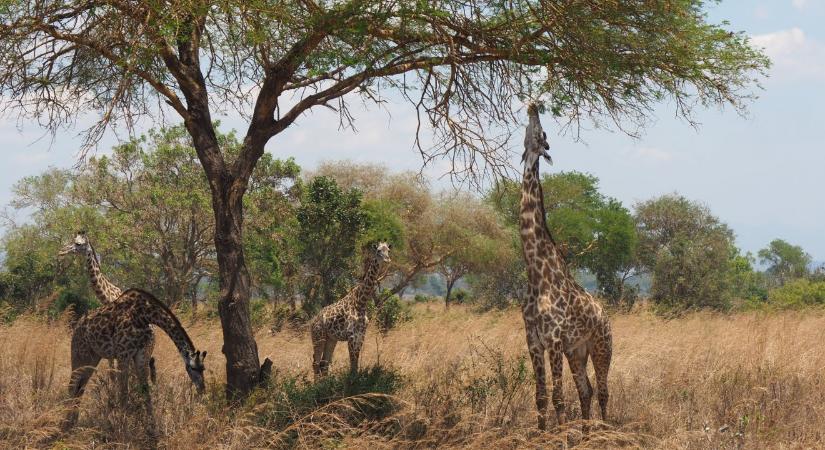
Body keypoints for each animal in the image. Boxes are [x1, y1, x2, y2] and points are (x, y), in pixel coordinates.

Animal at [65, 288, 206, 428]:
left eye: (203, 369)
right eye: (193, 368)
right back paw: (65, 425)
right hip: (79, 354)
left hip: (93, 357)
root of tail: (77, 326)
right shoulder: (123, 354)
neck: (144, 316)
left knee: (80, 387)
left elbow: (145, 391)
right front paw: (123, 427)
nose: (202, 389)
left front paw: (152, 427)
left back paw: (73, 422)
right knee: (72, 386)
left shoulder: (142, 355)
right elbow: (123, 393)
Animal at [310, 241, 392, 378]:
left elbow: (355, 364)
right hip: (318, 337)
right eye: (378, 251)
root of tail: (312, 322)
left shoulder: (361, 335)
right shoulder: (351, 335)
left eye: (388, 250)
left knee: (324, 364)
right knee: (316, 363)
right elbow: (353, 363)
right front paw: (352, 381)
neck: (361, 302)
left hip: (331, 339)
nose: (387, 260)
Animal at [520, 103, 612, 430]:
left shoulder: (555, 340)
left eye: (542, 133)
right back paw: (585, 434)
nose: (533, 106)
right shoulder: (534, 341)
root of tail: (605, 313)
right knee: (586, 390)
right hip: (578, 352)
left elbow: (558, 398)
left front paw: (558, 435)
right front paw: (542, 435)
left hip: (601, 346)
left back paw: (604, 432)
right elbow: (541, 398)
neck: (536, 274)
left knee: (603, 391)